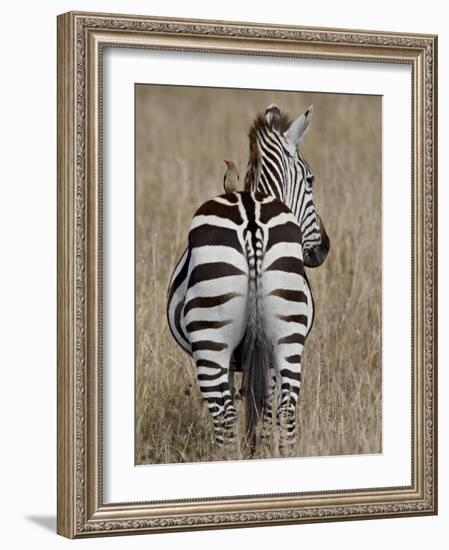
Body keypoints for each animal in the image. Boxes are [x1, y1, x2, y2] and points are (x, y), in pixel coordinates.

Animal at [166, 105, 328, 454]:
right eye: (311, 179)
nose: (324, 248)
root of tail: (252, 221)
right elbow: (263, 413)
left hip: (211, 339)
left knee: (225, 416)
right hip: (287, 335)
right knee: (286, 409)